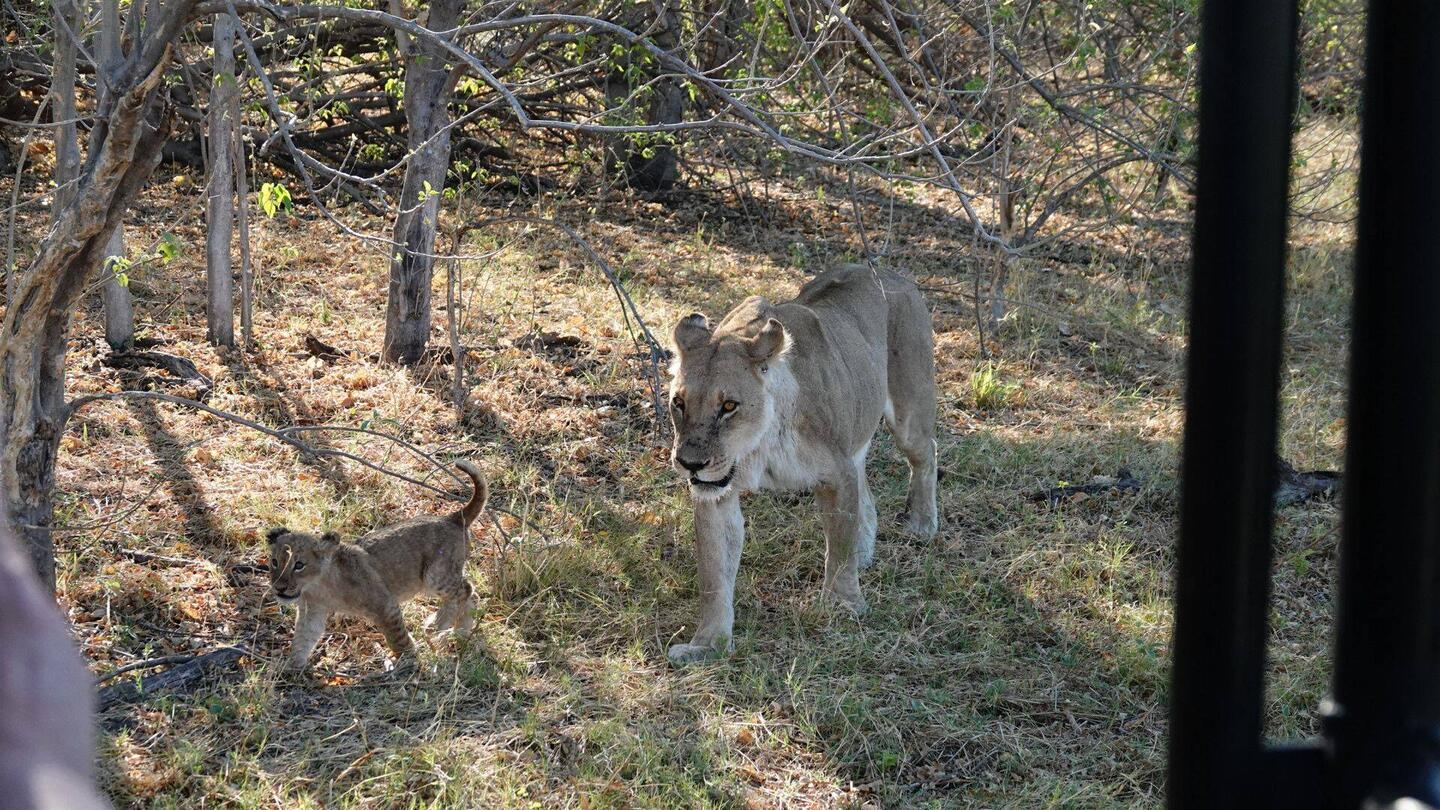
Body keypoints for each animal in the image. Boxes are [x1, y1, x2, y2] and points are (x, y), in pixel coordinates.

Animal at [265, 460, 488, 672]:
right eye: (274, 562)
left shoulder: (385, 605)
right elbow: (303, 639)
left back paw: (438, 624)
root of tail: (453, 517)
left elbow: (397, 639)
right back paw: (461, 633)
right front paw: (291, 669)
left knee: (464, 590)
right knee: (471, 594)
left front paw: (409, 662)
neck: (317, 587)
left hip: (435, 576)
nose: (279, 588)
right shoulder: (312, 611)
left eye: (299, 565)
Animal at [665, 264, 938, 664]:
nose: (690, 463)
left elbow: (837, 547)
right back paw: (863, 552)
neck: (758, 446)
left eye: (729, 406)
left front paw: (842, 604)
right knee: (866, 489)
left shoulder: (835, 474)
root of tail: (887, 271)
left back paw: (921, 524)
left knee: (926, 453)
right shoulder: (716, 494)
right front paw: (708, 645)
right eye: (679, 403)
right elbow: (714, 574)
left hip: (909, 412)